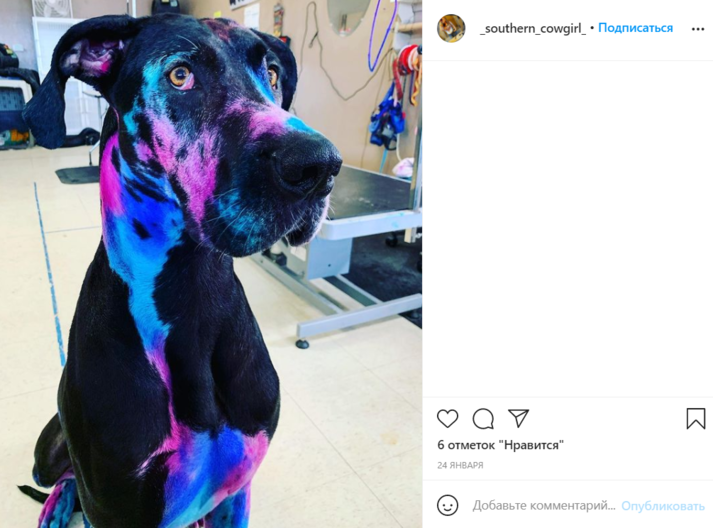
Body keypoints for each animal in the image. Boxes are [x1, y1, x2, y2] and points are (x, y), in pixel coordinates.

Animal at [20, 13, 341, 528]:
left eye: (272, 75)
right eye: (180, 75)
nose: (320, 166)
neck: (190, 292)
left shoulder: (236, 495)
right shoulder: (112, 508)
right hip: (45, 453)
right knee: (63, 478)